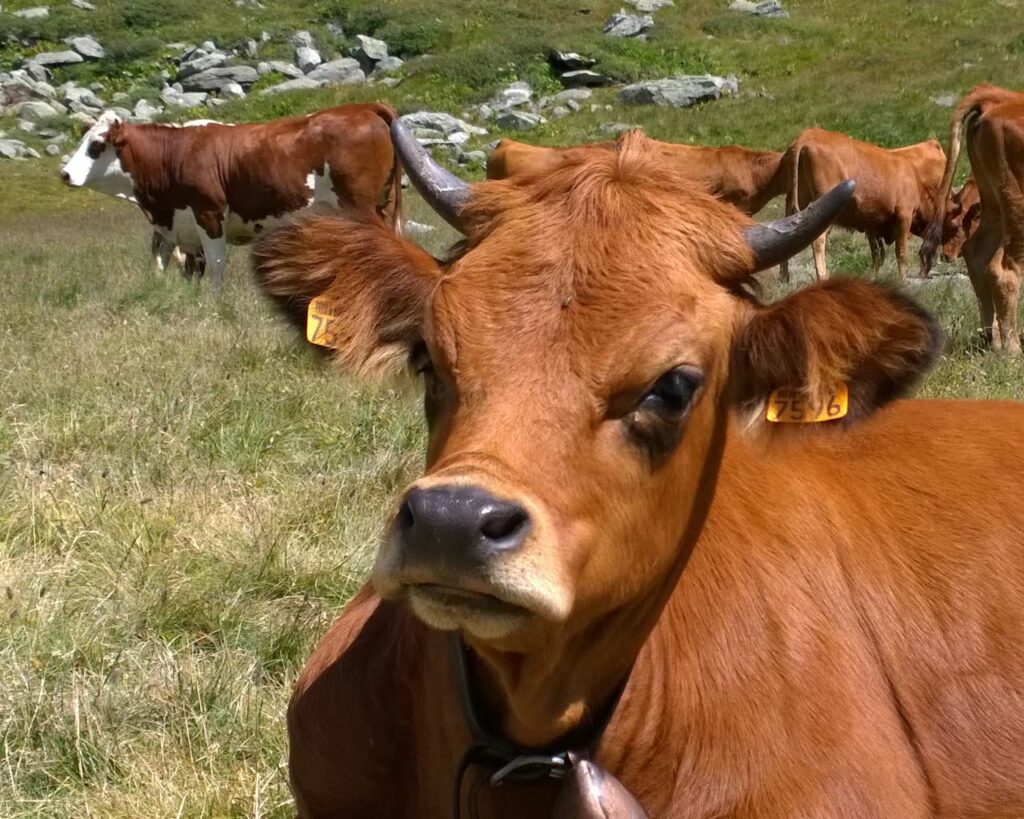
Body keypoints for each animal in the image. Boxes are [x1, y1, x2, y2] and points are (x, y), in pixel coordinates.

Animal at [58, 104, 403, 288]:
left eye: (96, 146)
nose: (65, 174)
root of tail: (362, 107)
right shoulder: (185, 227)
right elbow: (191, 269)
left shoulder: (209, 214)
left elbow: (216, 264)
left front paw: (217, 307)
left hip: (361, 207)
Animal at [782, 127, 942, 282]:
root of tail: (809, 134)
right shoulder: (904, 215)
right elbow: (901, 253)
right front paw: (902, 280)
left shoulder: (871, 223)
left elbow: (878, 255)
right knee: (818, 240)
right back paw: (822, 277)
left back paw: (784, 277)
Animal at [921, 85, 1024, 354]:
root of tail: (1000, 96)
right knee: (1004, 271)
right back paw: (1012, 348)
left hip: (995, 203)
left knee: (978, 255)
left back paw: (993, 339)